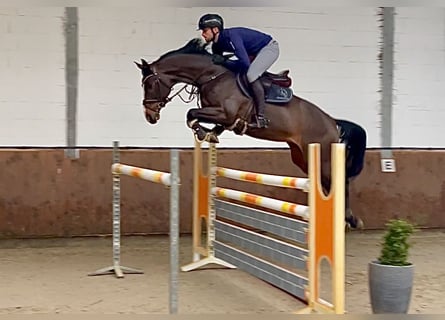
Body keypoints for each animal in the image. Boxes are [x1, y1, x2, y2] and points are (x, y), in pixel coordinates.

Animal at [137, 38, 366, 229]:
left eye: (150, 84)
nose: (150, 115)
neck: (211, 76)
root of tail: (332, 122)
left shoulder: (224, 113)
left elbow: (191, 113)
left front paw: (202, 132)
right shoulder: (221, 116)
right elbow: (199, 119)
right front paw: (210, 134)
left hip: (322, 156)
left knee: (340, 182)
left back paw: (350, 219)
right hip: (302, 157)